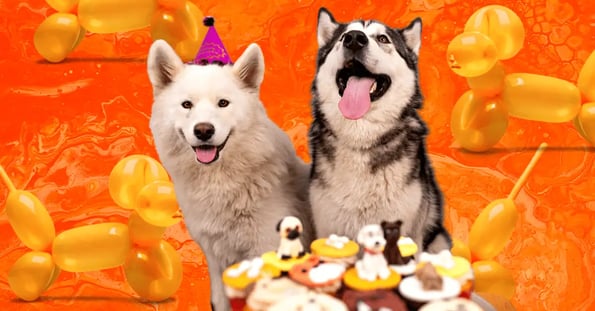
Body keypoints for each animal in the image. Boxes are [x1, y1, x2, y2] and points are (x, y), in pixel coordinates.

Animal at [146, 40, 316, 310]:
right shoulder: (216, 258)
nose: (204, 130)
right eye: (187, 105)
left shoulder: (267, 251)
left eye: (223, 103)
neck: (221, 183)